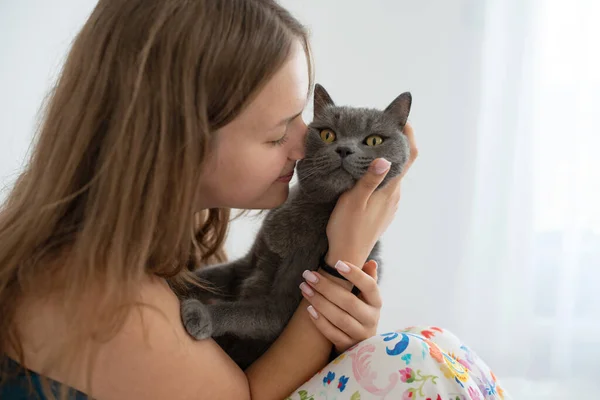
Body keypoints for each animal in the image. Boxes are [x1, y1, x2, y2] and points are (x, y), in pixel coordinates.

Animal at [180, 84, 410, 368]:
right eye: (327, 134)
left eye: (374, 140)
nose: (344, 149)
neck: (308, 212)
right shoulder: (249, 261)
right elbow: (207, 276)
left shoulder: (282, 307)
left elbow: (242, 312)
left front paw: (201, 313)